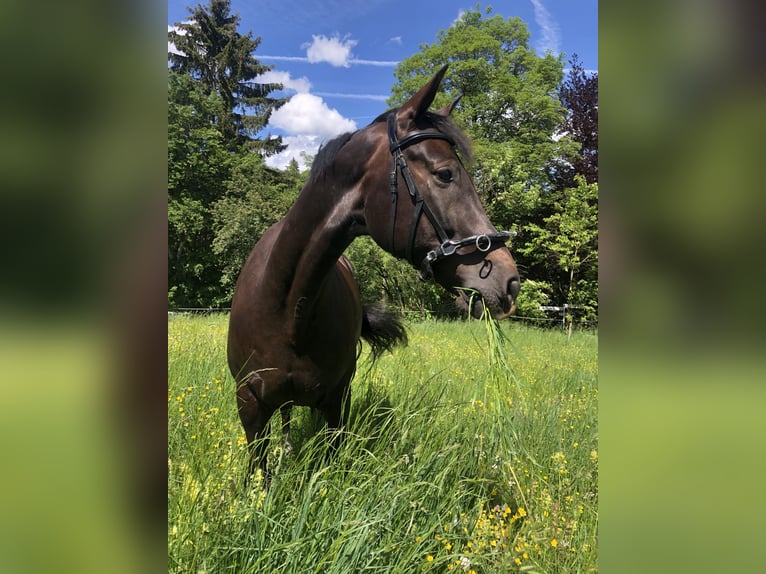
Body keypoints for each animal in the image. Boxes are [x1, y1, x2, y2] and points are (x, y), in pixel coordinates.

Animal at [226, 66, 520, 482]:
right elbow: (260, 477)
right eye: (445, 174)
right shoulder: (250, 407)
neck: (287, 308)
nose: (509, 281)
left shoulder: (336, 403)